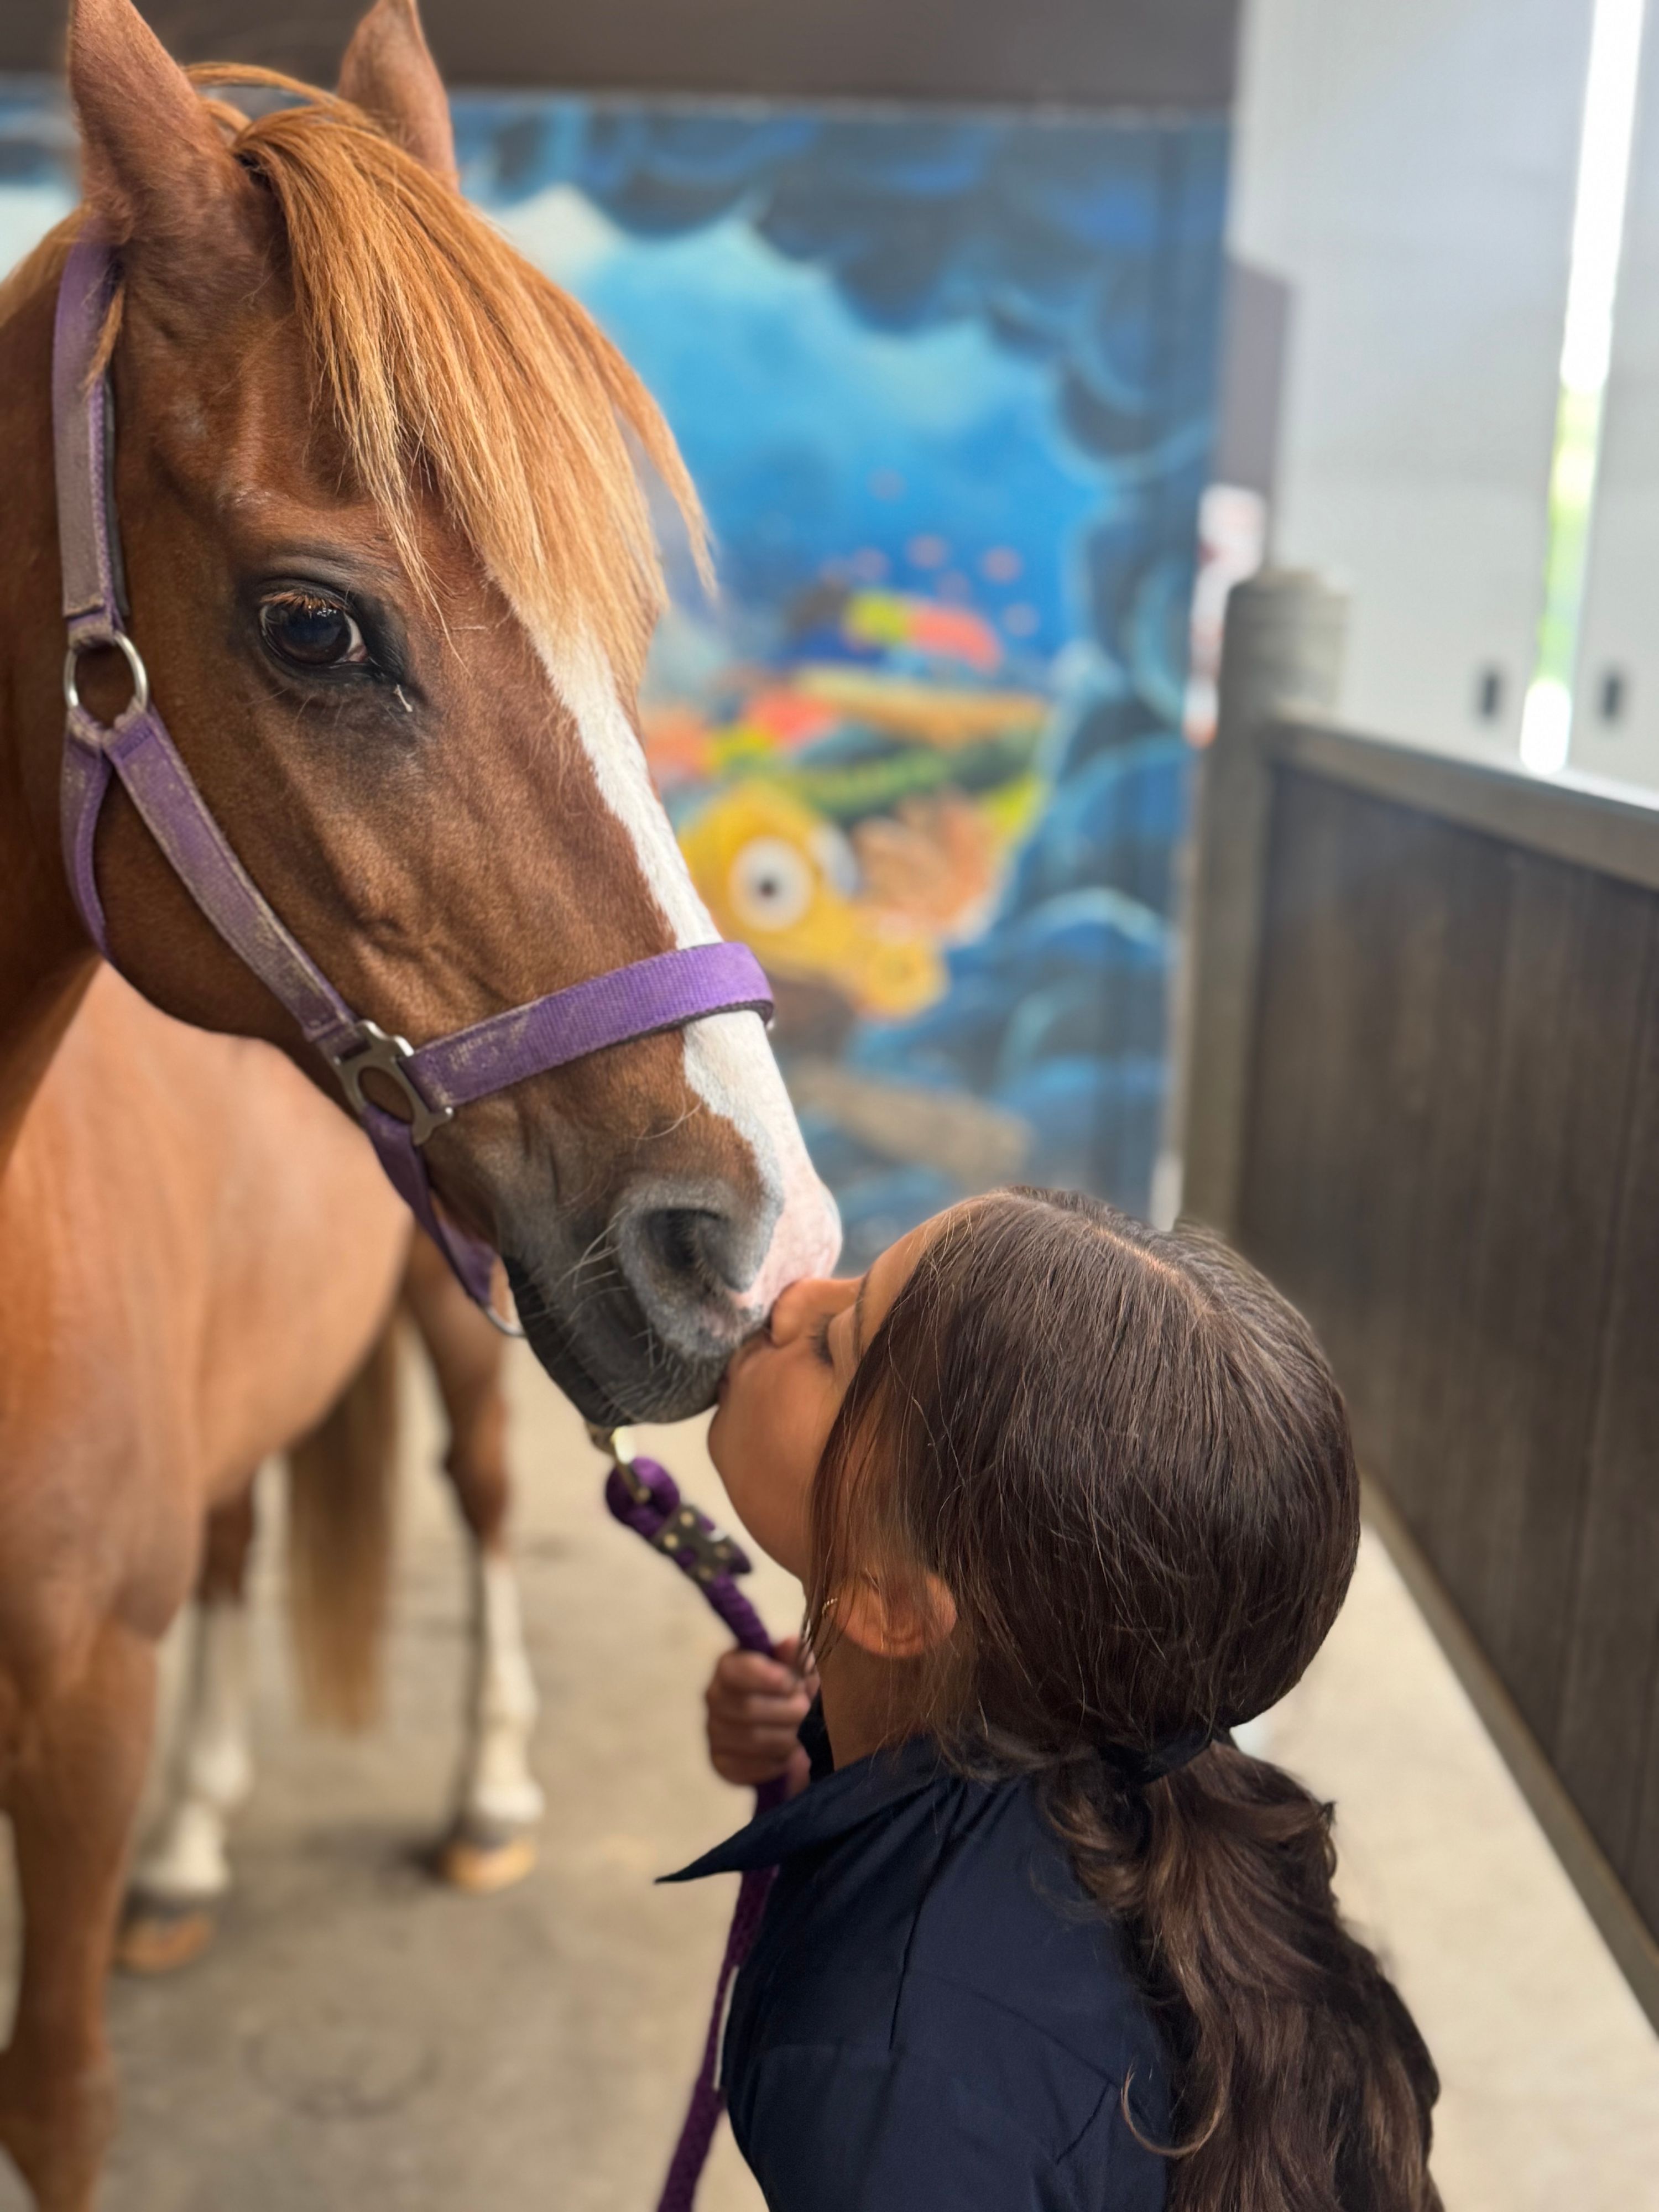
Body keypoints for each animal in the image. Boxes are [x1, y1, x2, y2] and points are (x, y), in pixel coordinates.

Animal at [0, 0, 839, 2203]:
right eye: (314, 621)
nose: (764, 1244)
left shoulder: (73, 1701)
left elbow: (57, 2094)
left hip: (460, 1328)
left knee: (467, 1495)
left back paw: (482, 1799)